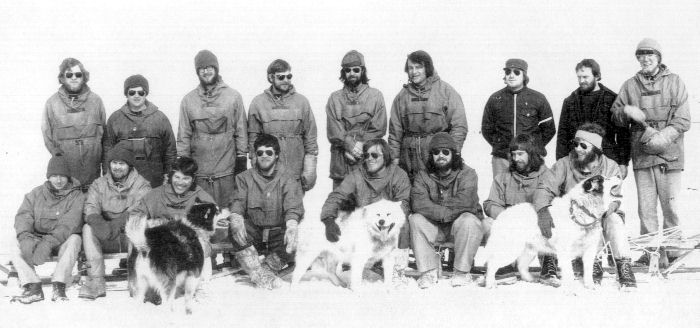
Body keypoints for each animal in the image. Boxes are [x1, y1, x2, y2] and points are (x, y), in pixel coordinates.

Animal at [484, 176, 620, 290]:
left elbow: (588, 271)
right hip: (510, 249)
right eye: (605, 178)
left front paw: (590, 286)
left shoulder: (589, 250)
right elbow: (569, 273)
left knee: (521, 265)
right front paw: (571, 290)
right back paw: (490, 284)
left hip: (530, 249)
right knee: (492, 264)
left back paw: (529, 279)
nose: (619, 175)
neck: (582, 209)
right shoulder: (565, 251)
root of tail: (503, 214)